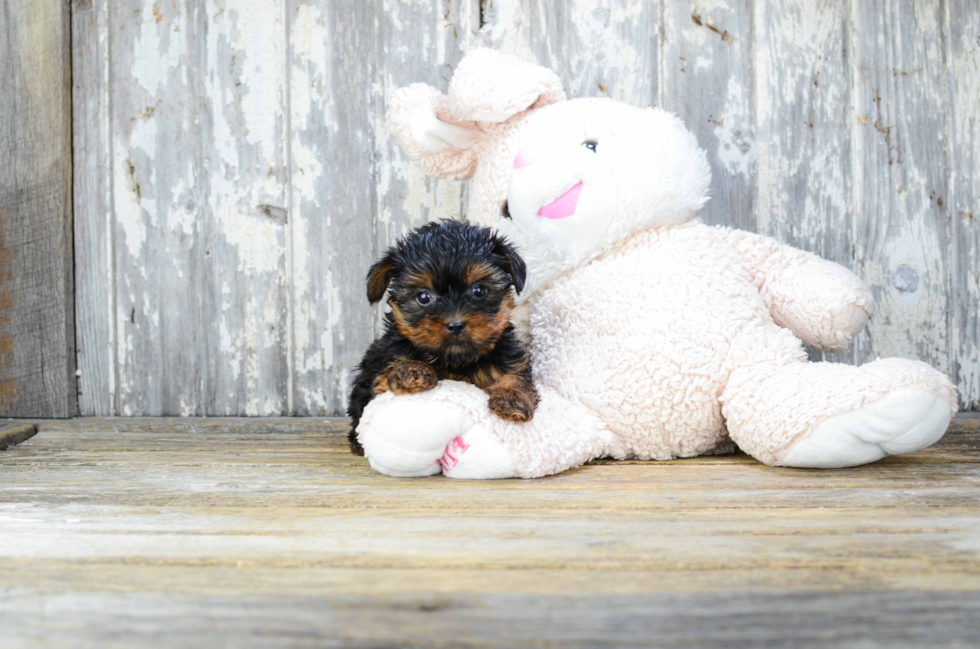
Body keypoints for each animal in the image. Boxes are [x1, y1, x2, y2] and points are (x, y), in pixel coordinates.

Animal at [348, 220, 540, 454]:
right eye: (423, 297)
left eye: (478, 290)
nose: (455, 324)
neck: (455, 360)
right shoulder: (380, 372)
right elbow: (387, 375)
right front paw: (410, 370)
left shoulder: (508, 361)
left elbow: (516, 376)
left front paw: (513, 397)